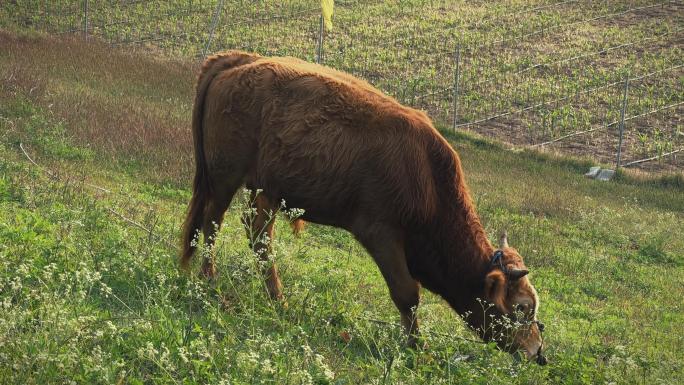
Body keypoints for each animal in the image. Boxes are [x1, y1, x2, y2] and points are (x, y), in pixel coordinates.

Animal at [179, 51, 548, 364]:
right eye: (522, 307)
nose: (538, 352)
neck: (428, 176)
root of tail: (239, 59)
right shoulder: (381, 234)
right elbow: (407, 293)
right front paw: (418, 349)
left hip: (264, 189)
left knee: (258, 236)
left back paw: (277, 298)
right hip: (225, 178)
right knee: (212, 223)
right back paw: (209, 278)